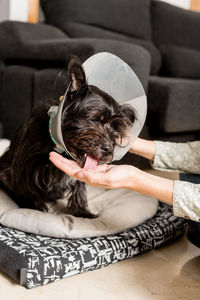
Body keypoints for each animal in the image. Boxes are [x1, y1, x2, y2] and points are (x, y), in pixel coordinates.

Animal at [0, 57, 136, 219]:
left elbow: (79, 188)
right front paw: (33, 207)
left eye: (115, 130)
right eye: (95, 119)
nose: (108, 149)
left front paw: (81, 212)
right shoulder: (25, 165)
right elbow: (27, 186)